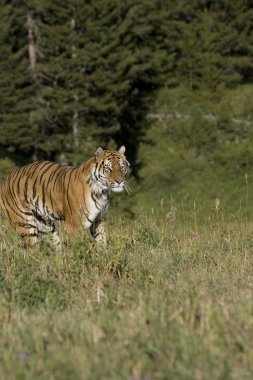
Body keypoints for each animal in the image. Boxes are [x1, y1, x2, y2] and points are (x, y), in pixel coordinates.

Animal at [0, 145, 130, 246]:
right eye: (108, 168)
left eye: (122, 166)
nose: (120, 181)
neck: (101, 192)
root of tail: (5, 182)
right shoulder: (74, 225)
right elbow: (78, 249)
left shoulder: (99, 220)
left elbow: (102, 242)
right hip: (25, 225)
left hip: (45, 225)